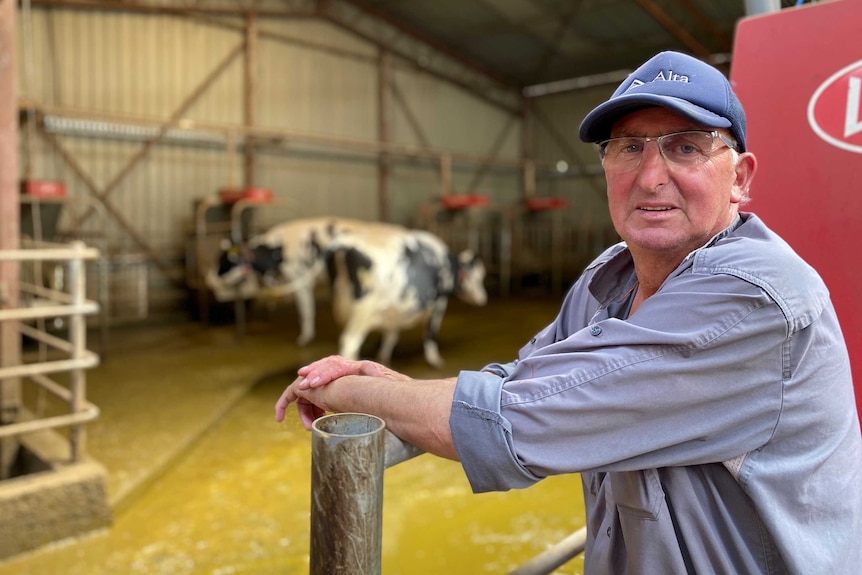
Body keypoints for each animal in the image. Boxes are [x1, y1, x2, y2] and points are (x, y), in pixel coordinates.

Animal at [326, 227, 490, 366]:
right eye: (478, 277)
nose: (483, 298)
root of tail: (346, 241)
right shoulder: (438, 303)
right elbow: (431, 334)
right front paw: (434, 360)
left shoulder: (394, 312)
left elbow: (390, 337)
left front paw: (383, 359)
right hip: (363, 311)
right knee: (349, 341)